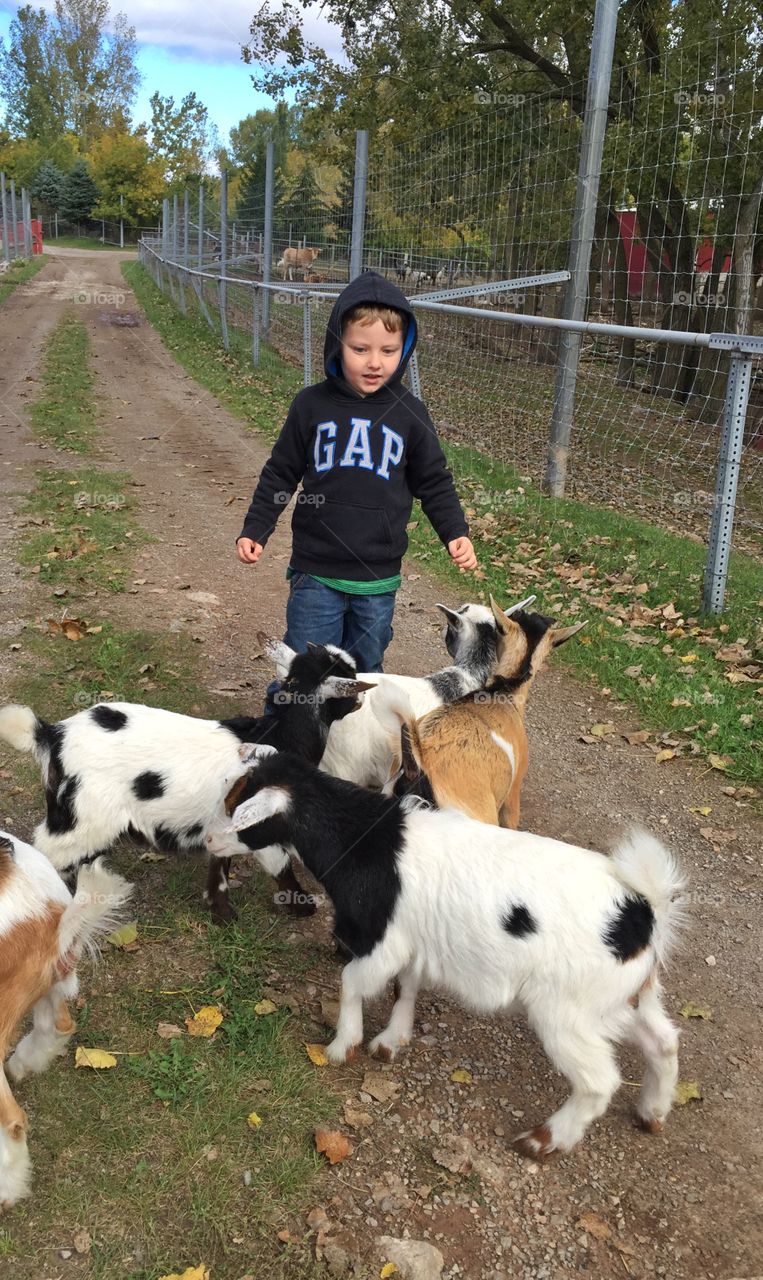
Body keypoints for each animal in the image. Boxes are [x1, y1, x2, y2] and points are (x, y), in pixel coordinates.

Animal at [0, 640, 373, 921]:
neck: (280, 735)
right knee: (50, 849)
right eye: (351, 679)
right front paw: (303, 907)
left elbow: (220, 863)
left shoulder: (225, 820)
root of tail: (52, 736)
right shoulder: (260, 823)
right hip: (84, 813)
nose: (364, 698)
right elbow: (280, 865)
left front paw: (221, 914)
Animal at [208, 747, 686, 1162]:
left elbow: (351, 983)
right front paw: (392, 1040)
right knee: (663, 1041)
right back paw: (651, 1113)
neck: (365, 841)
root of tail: (645, 910)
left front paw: (343, 1045)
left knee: (598, 1081)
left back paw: (545, 1140)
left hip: (566, 1011)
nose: (210, 840)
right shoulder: (415, 942)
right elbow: (406, 986)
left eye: (236, 807)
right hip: (623, 997)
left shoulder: (383, 941)